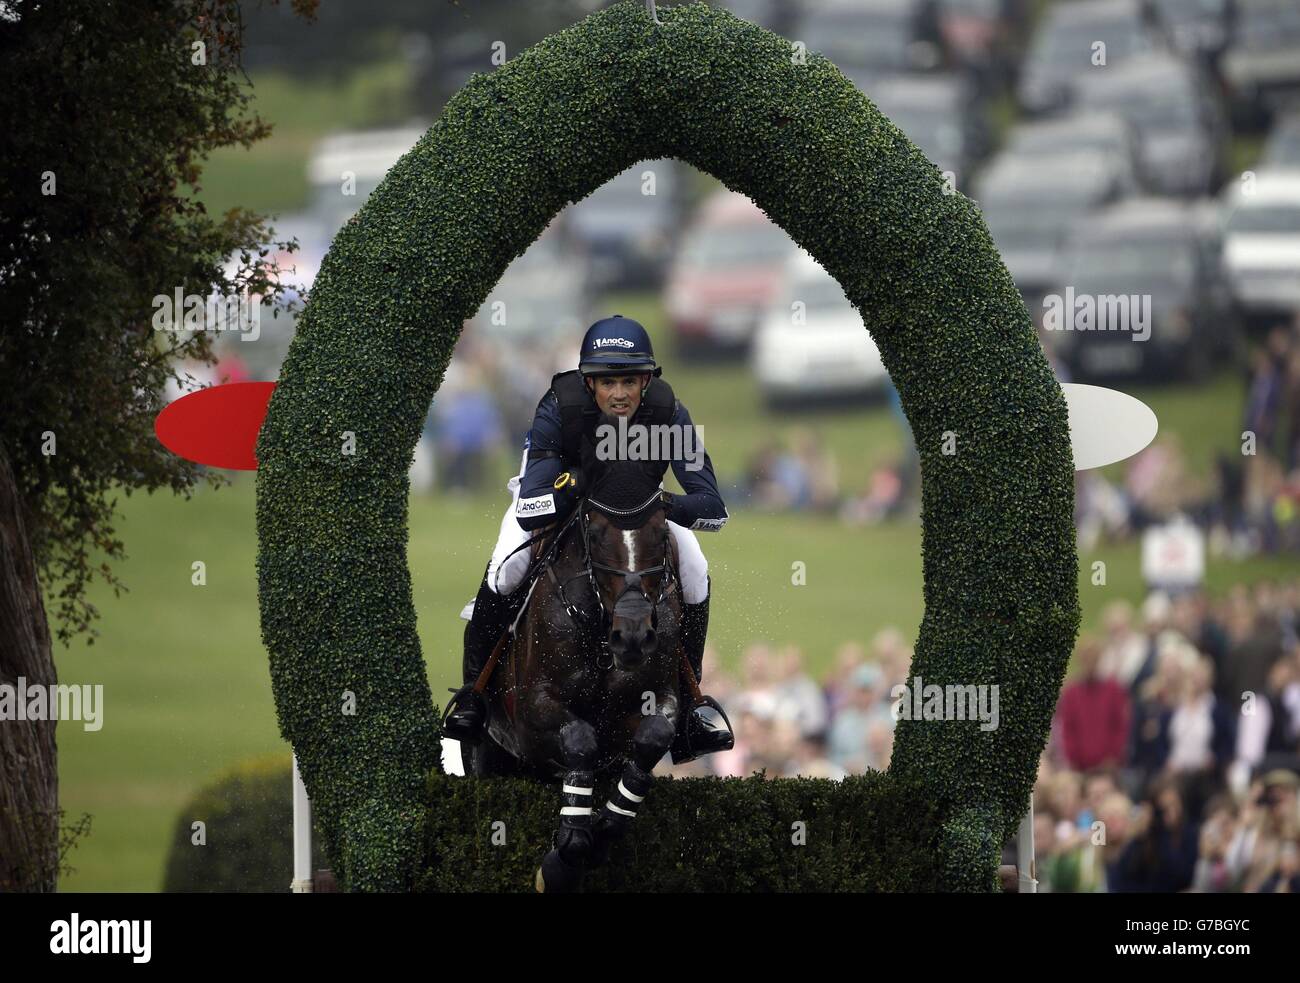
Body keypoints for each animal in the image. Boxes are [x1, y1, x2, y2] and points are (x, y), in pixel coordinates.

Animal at [467, 460, 691, 889]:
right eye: (598, 534)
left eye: (660, 534)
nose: (633, 637)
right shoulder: (533, 710)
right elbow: (580, 739)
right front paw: (564, 856)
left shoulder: (657, 696)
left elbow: (654, 735)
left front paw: (605, 826)